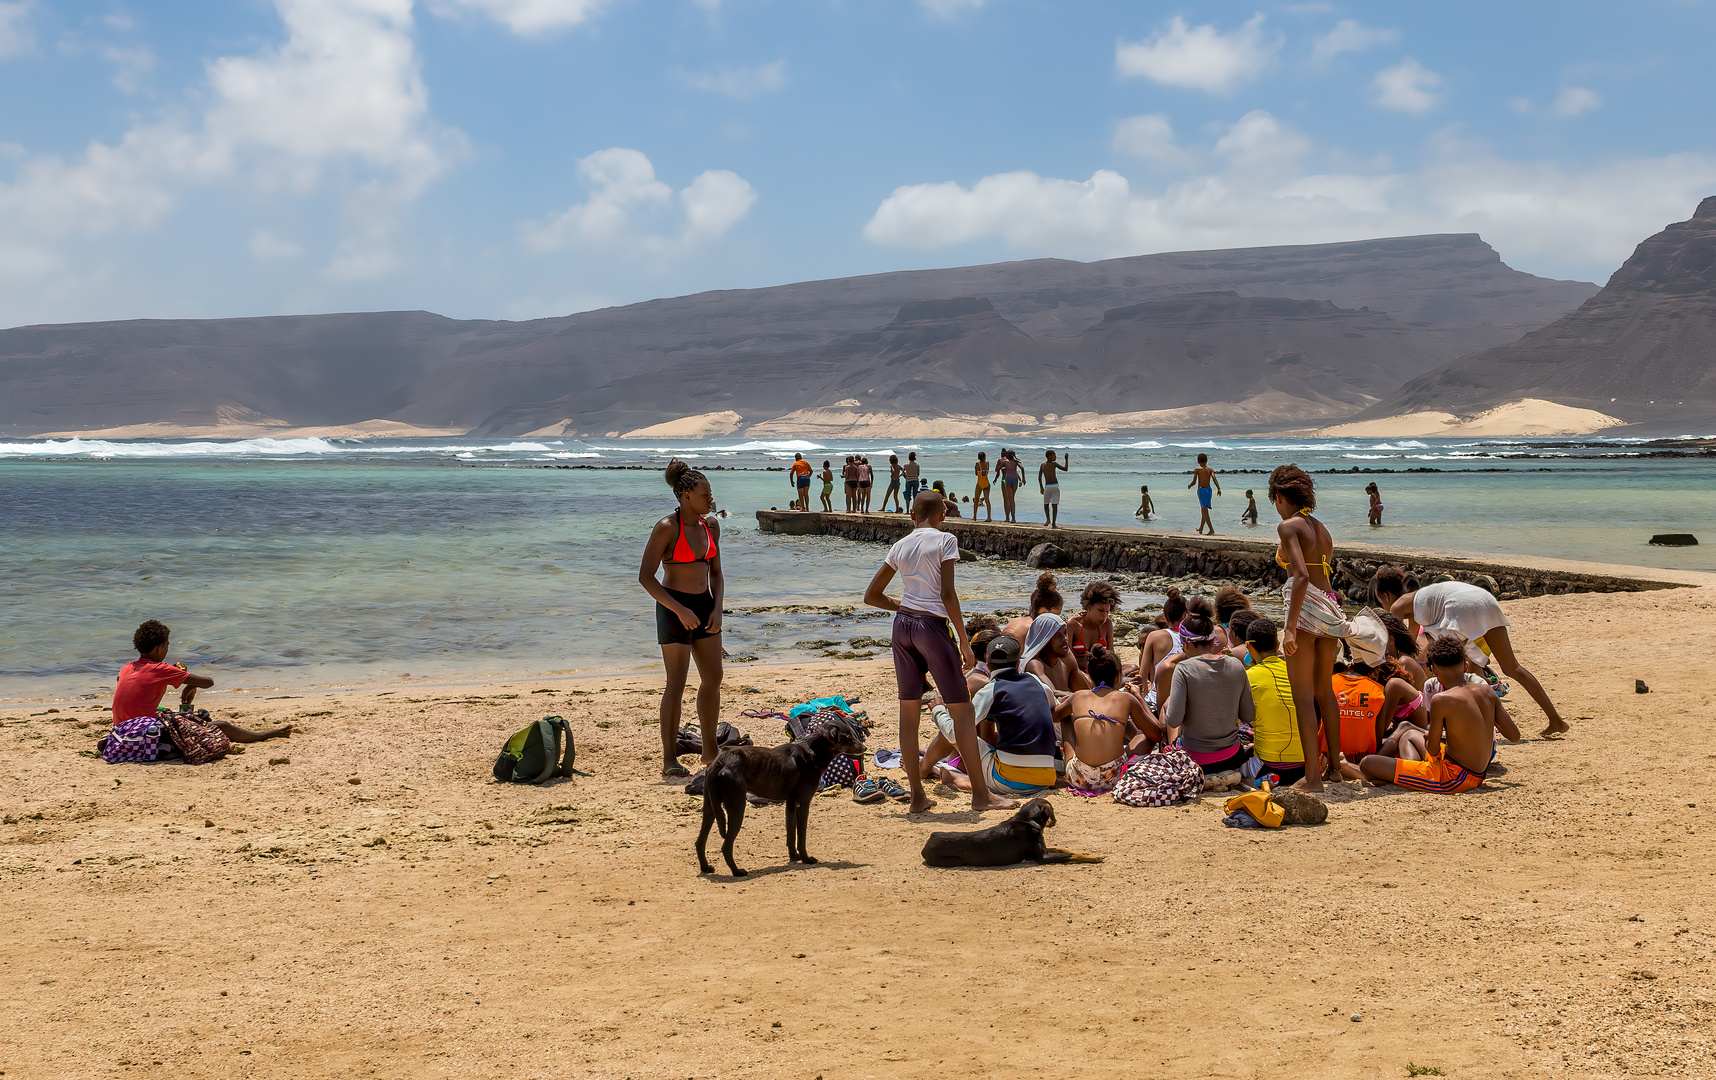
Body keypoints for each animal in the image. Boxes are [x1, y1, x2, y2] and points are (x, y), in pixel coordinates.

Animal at [693, 717, 864, 875]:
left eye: (852, 733)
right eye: (847, 737)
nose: (865, 747)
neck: (813, 752)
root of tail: (721, 760)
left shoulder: (791, 803)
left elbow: (791, 835)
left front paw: (794, 857)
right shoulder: (803, 803)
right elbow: (801, 837)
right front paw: (806, 859)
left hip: (710, 808)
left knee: (699, 842)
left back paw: (706, 867)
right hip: (737, 807)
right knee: (726, 847)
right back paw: (737, 871)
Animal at [919, 800, 1105, 868]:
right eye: (1052, 811)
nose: (1056, 821)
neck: (1027, 819)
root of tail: (927, 843)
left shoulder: (1044, 848)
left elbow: (1067, 850)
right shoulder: (1043, 857)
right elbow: (1071, 856)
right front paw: (1094, 858)